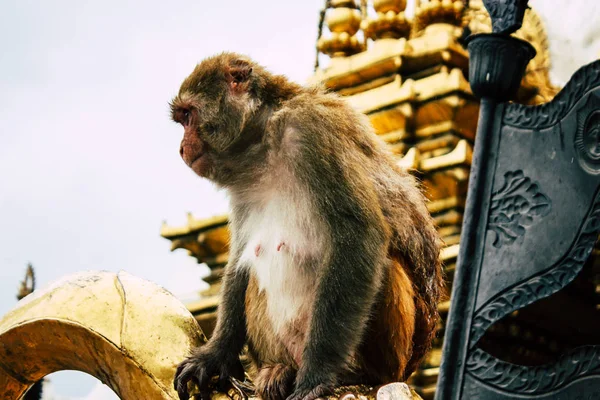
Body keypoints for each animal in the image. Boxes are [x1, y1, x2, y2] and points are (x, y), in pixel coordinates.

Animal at [171, 52, 442, 400]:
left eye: (188, 116)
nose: (181, 148)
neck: (263, 141)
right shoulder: (242, 183)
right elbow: (240, 259)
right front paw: (215, 355)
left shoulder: (311, 129)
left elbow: (360, 236)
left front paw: (318, 375)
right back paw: (279, 370)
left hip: (393, 358)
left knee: (382, 261)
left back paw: (349, 372)